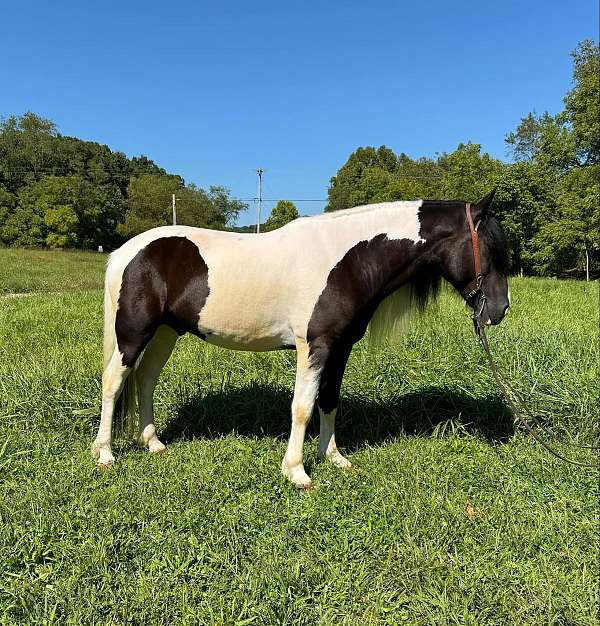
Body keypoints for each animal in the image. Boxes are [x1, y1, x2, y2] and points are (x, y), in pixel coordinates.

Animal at [91, 190, 508, 488]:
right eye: (489, 250)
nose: (499, 310)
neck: (348, 260)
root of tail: (126, 252)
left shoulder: (340, 348)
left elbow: (329, 401)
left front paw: (333, 458)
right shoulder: (315, 346)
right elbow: (303, 407)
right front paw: (297, 472)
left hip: (165, 332)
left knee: (145, 380)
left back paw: (152, 442)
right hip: (134, 333)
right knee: (114, 381)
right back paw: (105, 453)